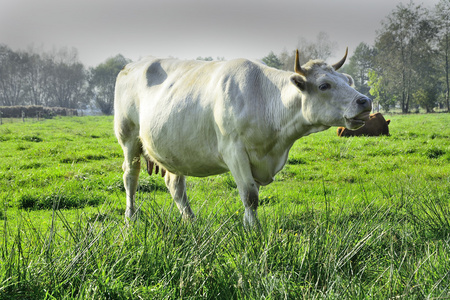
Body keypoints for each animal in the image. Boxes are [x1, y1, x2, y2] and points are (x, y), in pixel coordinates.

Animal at [114, 47, 370, 225]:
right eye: (324, 85)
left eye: (347, 81)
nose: (365, 101)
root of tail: (131, 65)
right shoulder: (234, 151)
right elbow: (249, 196)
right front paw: (253, 230)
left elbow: (253, 196)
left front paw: (248, 225)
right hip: (128, 137)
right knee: (131, 177)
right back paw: (130, 218)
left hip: (174, 149)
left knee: (175, 185)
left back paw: (190, 221)